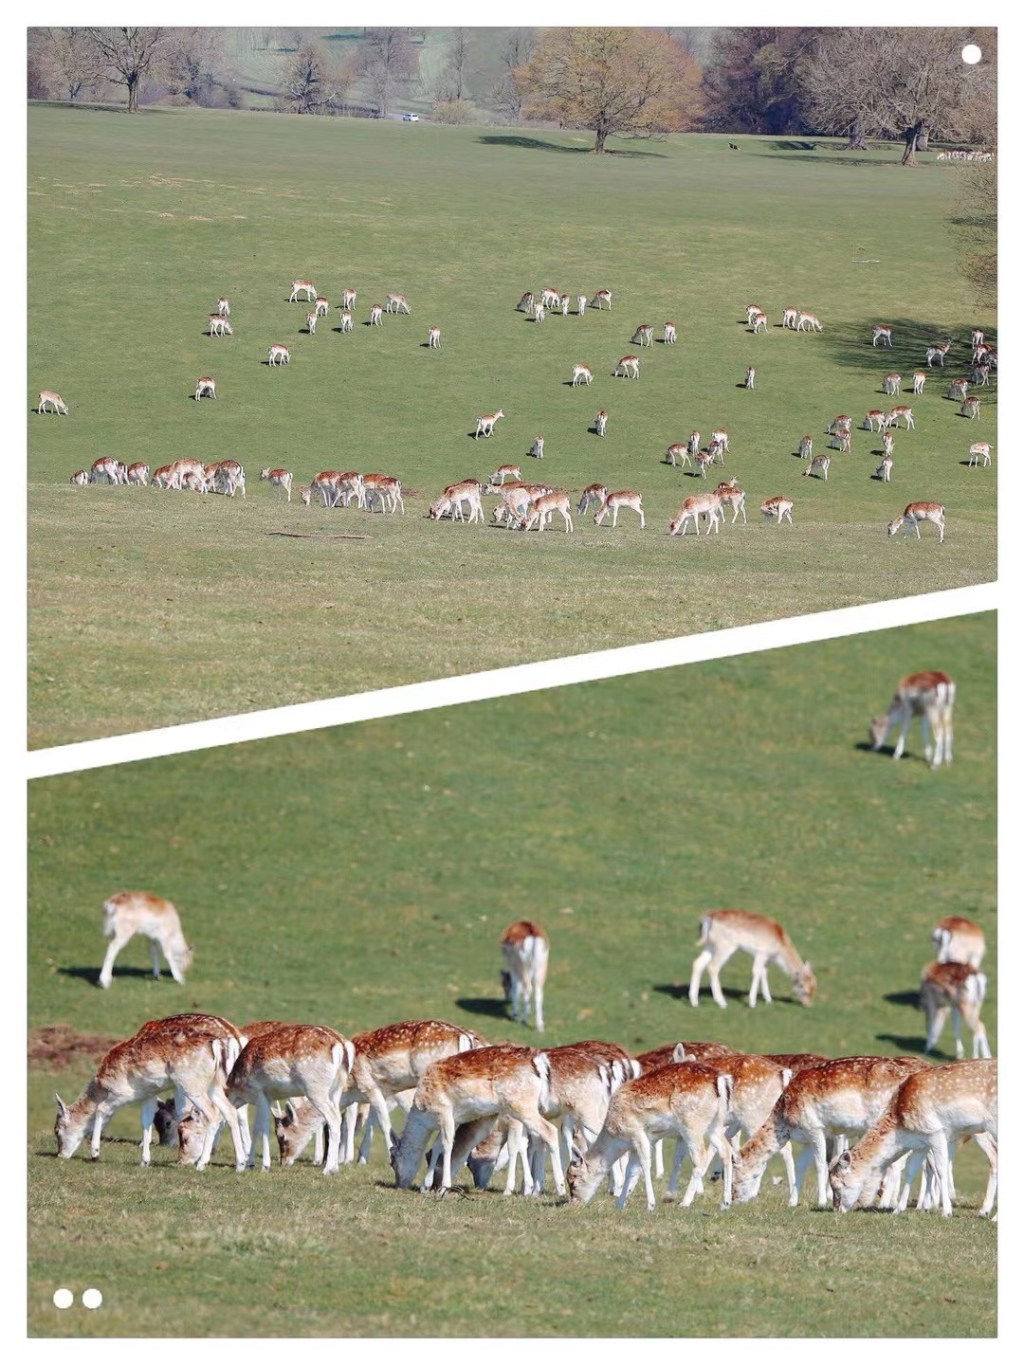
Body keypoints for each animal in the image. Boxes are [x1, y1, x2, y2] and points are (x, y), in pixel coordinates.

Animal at [54, 1013, 248, 1170]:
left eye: (57, 1131)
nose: (60, 1155)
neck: (102, 1084)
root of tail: (229, 1039)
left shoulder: (122, 1093)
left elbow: (101, 1109)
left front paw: (94, 1153)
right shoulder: (148, 1094)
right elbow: (145, 1121)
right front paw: (144, 1161)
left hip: (192, 1083)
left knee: (213, 1115)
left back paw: (202, 1163)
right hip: (214, 1085)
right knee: (230, 1111)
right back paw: (240, 1164)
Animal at [390, 1045, 567, 1195]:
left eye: (393, 1163)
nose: (399, 1186)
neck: (423, 1116)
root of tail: (539, 1064)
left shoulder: (444, 1110)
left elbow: (447, 1145)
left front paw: (444, 1187)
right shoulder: (454, 1119)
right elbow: (437, 1146)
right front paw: (425, 1186)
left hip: (521, 1105)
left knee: (550, 1130)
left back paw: (561, 1189)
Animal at [567, 1063, 735, 1212]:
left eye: (573, 1182)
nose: (573, 1205)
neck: (617, 1139)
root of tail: (721, 1080)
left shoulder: (638, 1134)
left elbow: (645, 1165)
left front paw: (650, 1205)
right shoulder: (637, 1143)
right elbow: (631, 1170)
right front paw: (620, 1204)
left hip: (692, 1124)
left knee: (700, 1157)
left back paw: (685, 1203)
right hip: (715, 1124)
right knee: (726, 1150)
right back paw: (725, 1203)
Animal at [733, 1055, 931, 1209]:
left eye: (735, 1179)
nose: (734, 1199)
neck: (783, 1117)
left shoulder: (815, 1128)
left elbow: (821, 1164)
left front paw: (821, 1202)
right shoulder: (806, 1137)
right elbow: (801, 1165)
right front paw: (792, 1202)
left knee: (897, 1162)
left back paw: (886, 1204)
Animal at [829, 1060, 997, 1218]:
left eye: (837, 1184)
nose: (837, 1210)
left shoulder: (936, 1132)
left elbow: (940, 1169)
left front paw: (946, 1212)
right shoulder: (921, 1143)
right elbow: (911, 1171)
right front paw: (897, 1210)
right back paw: (984, 1212)